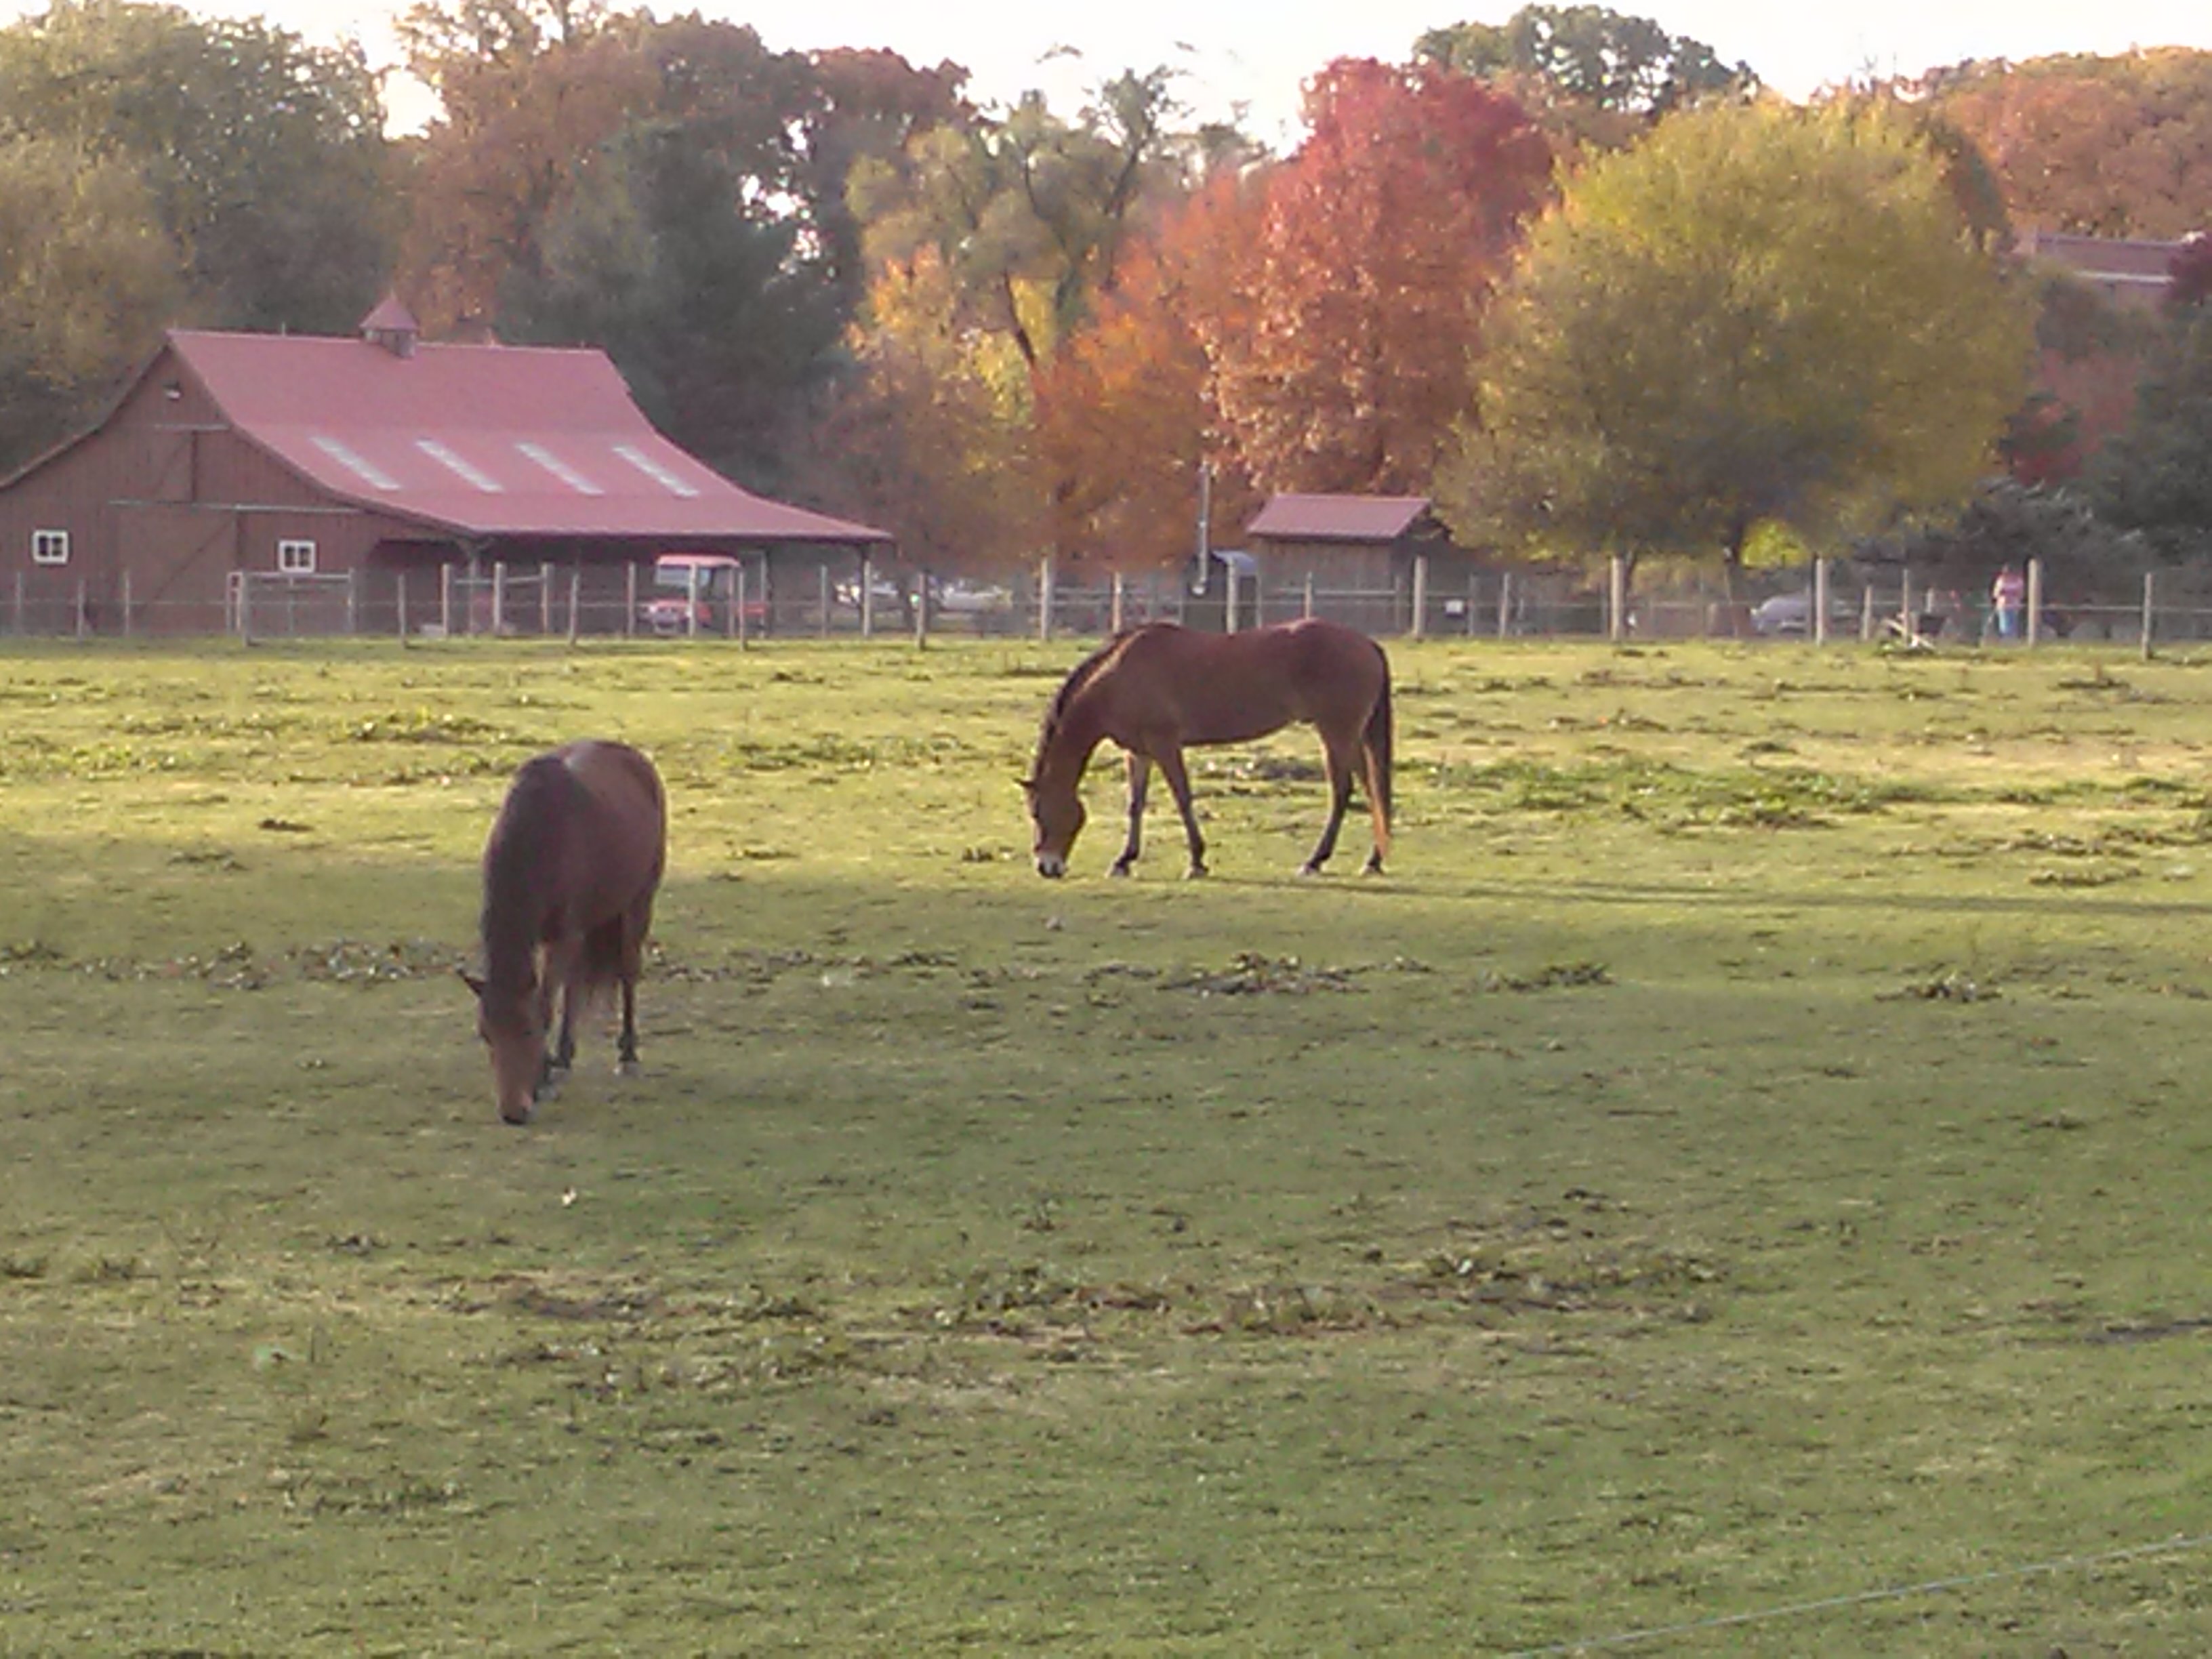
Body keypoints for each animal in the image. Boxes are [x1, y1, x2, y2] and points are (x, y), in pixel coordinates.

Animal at [464, 743, 663, 1124]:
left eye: (528, 1031)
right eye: (485, 1034)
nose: (513, 1113)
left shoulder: (563, 936)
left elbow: (546, 1004)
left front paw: (543, 1078)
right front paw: (553, 1066)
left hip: (638, 905)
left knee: (628, 973)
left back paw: (627, 1056)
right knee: (575, 987)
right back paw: (565, 1059)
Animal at [1021, 619, 1397, 884]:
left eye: (1038, 813)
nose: (1045, 866)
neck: (1117, 676)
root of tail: (1367, 644)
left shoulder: (1164, 745)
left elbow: (1183, 798)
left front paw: (1197, 862)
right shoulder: (1139, 752)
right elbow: (1135, 805)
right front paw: (1124, 861)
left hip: (1336, 733)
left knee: (1344, 791)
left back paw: (1315, 861)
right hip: (1350, 735)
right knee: (1372, 790)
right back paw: (1373, 861)